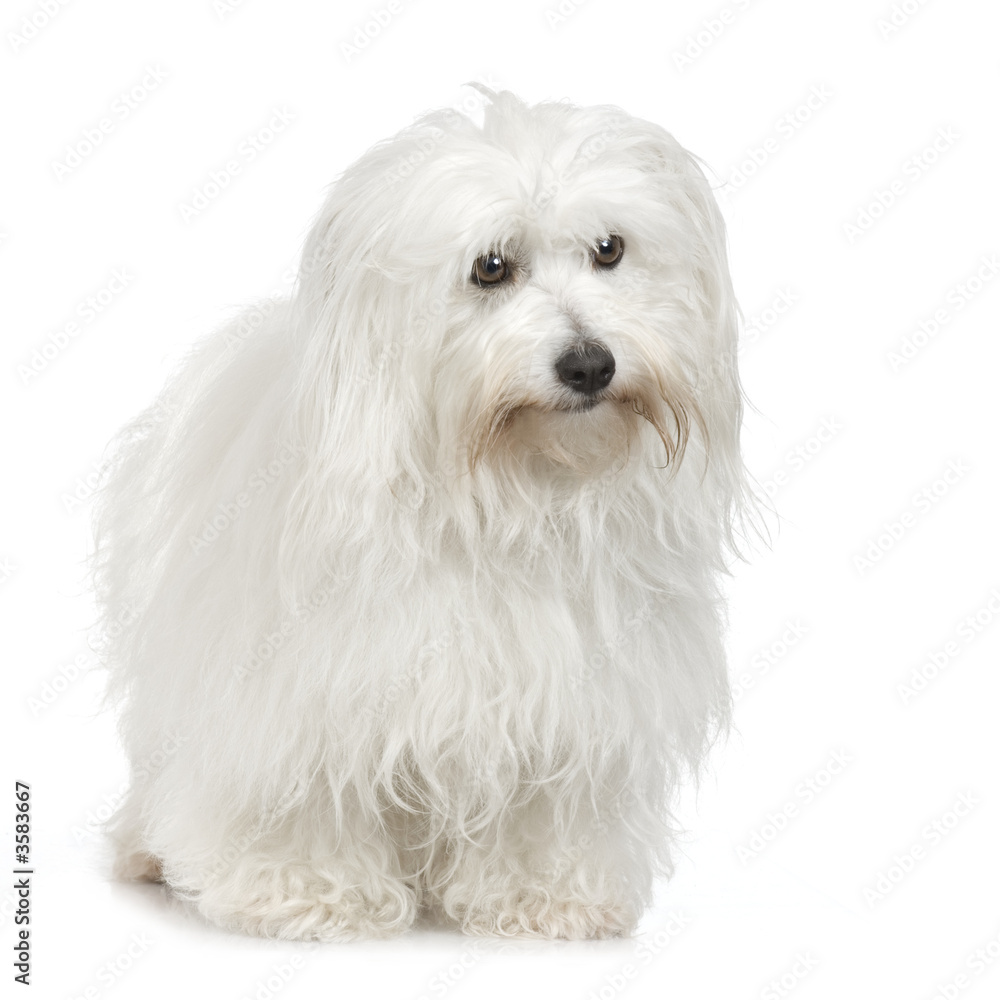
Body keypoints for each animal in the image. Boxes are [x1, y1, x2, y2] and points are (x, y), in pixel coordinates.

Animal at [94, 90, 752, 940]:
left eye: (610, 249)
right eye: (490, 268)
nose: (589, 363)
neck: (508, 490)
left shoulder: (567, 698)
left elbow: (545, 801)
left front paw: (543, 894)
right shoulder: (301, 690)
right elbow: (300, 792)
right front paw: (306, 889)